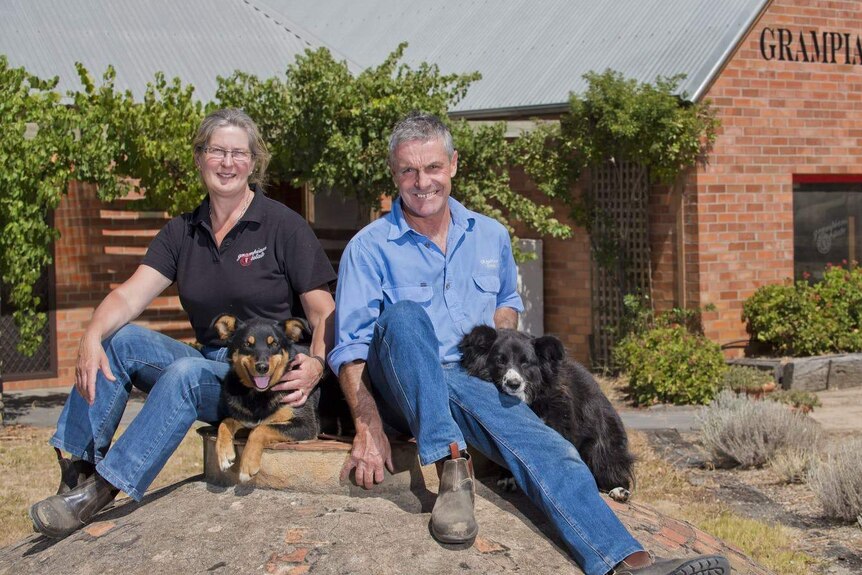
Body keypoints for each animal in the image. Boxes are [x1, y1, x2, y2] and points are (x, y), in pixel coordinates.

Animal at [213, 316, 324, 482]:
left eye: (274, 344)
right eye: (247, 344)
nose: (262, 367)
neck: (259, 395)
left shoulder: (307, 426)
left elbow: (261, 429)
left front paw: (247, 465)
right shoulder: (246, 420)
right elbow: (225, 422)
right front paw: (224, 454)